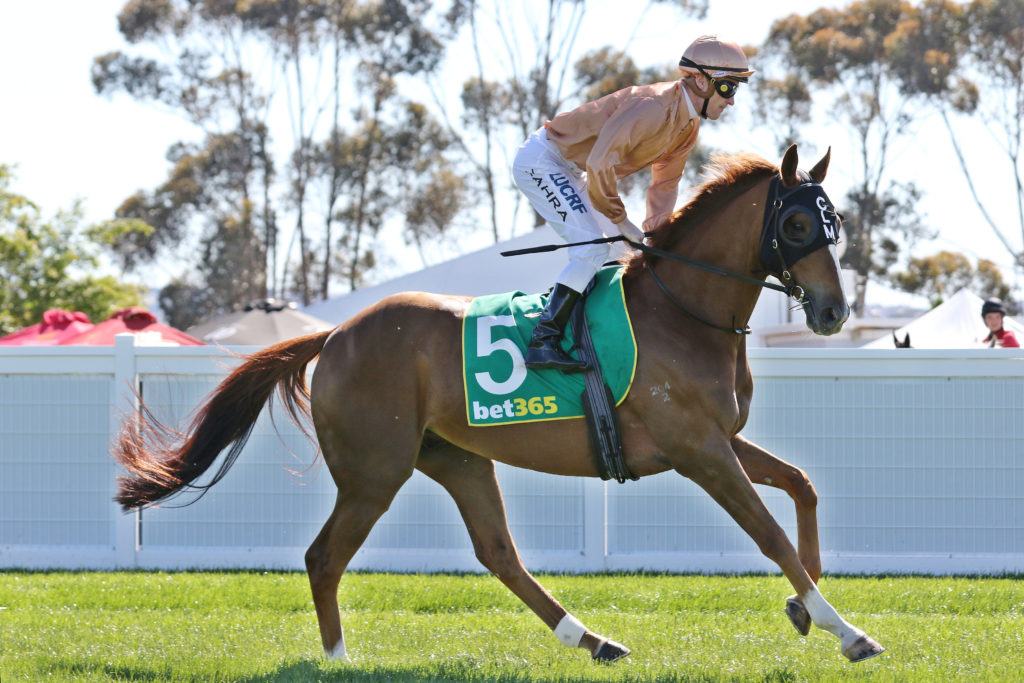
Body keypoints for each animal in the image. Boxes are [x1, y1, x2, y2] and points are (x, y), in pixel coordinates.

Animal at [113, 144, 883, 664]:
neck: (683, 310)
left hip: (456, 457)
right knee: (323, 557)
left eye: (833, 221)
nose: (833, 311)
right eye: (794, 225)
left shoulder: (719, 439)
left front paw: (802, 607)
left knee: (498, 552)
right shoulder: (699, 450)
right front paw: (846, 629)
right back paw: (338, 660)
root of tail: (334, 334)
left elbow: (802, 487)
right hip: (375, 470)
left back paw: (592, 638)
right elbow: (770, 533)